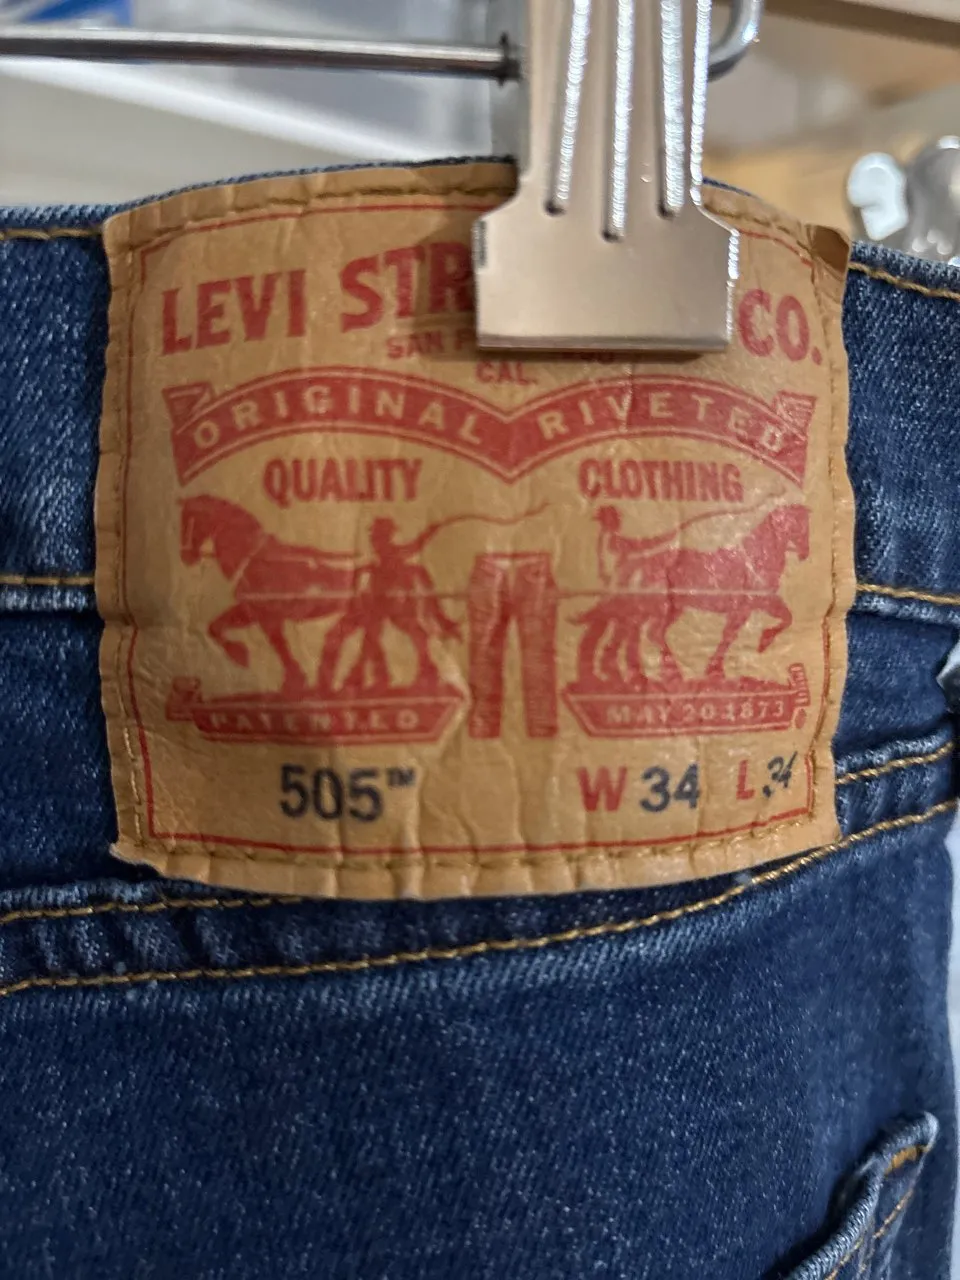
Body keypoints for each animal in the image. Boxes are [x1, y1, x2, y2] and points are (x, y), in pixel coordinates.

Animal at [179, 495, 357, 696]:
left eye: (190, 521)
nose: (186, 556)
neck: (253, 559)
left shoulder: (268, 616)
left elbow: (279, 646)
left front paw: (293, 680)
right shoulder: (252, 611)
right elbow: (215, 626)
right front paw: (240, 654)